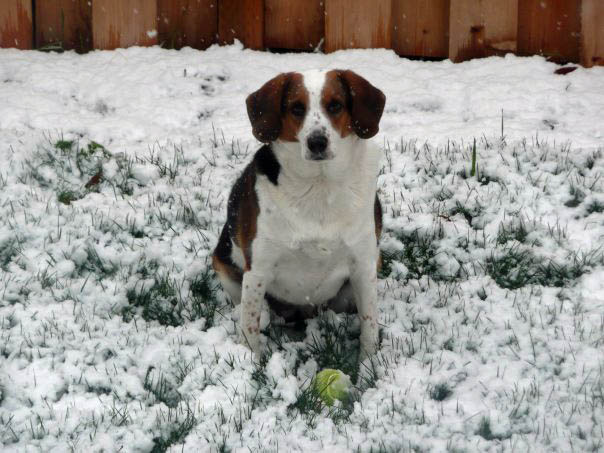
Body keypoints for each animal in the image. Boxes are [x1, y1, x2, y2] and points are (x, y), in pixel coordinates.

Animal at [212, 69, 386, 356]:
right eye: (296, 108)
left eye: (335, 105)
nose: (317, 142)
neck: (319, 184)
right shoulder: (257, 270)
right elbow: (249, 329)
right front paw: (250, 364)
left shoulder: (363, 266)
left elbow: (369, 327)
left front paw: (369, 366)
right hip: (223, 265)